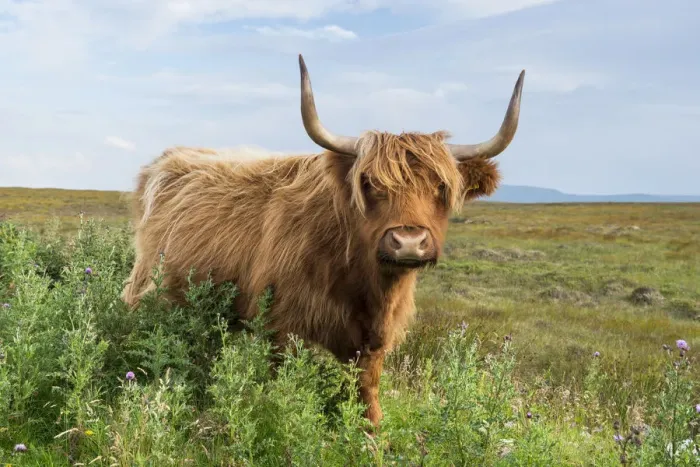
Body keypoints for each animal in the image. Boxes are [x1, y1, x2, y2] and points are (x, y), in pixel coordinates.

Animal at [121, 54, 525, 429]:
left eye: (441, 186)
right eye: (370, 183)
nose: (408, 241)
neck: (360, 278)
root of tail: (165, 160)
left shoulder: (374, 340)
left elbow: (366, 394)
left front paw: (372, 437)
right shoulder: (281, 326)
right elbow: (282, 387)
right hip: (150, 290)